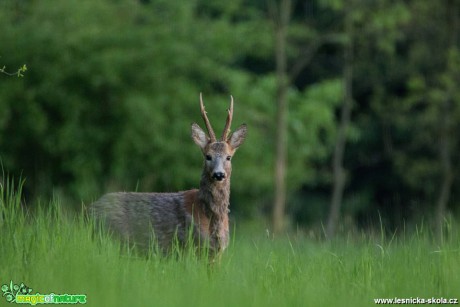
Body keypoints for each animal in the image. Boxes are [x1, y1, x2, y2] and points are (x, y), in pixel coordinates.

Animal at [90, 94, 248, 260]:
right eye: (208, 156)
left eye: (228, 157)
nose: (219, 174)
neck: (212, 218)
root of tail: (89, 211)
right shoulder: (193, 245)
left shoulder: (217, 253)